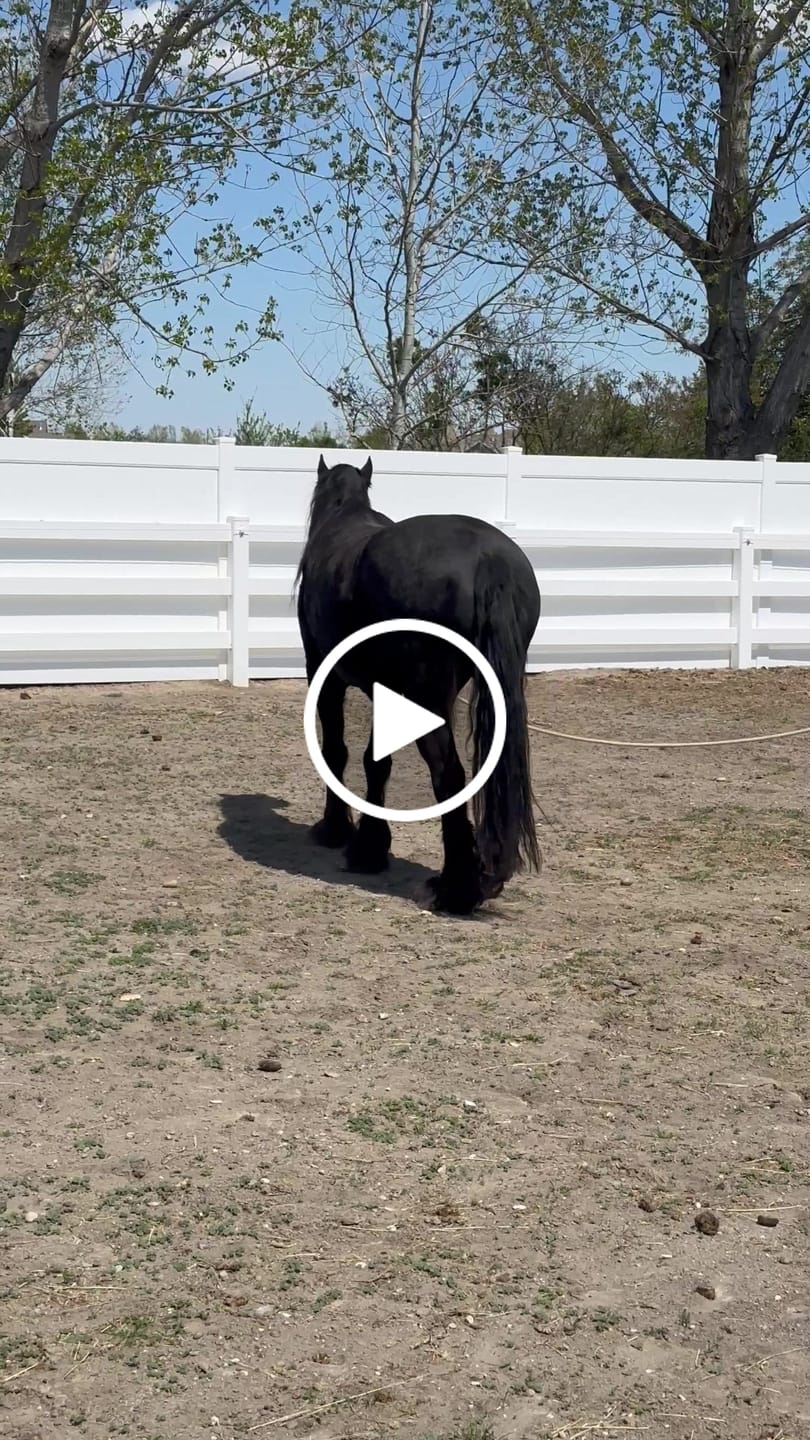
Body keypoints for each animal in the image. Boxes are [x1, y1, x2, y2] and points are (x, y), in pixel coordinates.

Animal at [296, 454, 541, 914]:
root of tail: (488, 559)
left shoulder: (324, 674)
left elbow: (336, 751)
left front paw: (338, 832)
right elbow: (376, 760)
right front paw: (370, 847)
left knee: (449, 772)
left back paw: (456, 890)